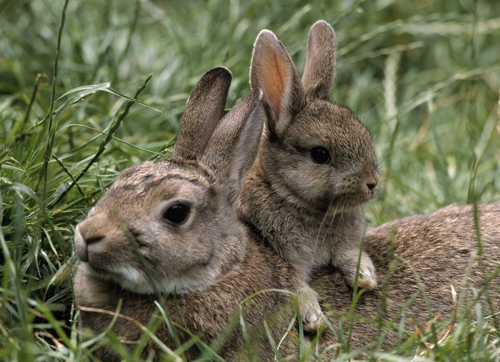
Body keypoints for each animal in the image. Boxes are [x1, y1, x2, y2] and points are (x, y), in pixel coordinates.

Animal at [238, 19, 378, 330]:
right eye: (320, 154)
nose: (372, 184)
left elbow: (349, 253)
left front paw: (365, 277)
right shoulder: (283, 257)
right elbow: (294, 285)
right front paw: (314, 318)